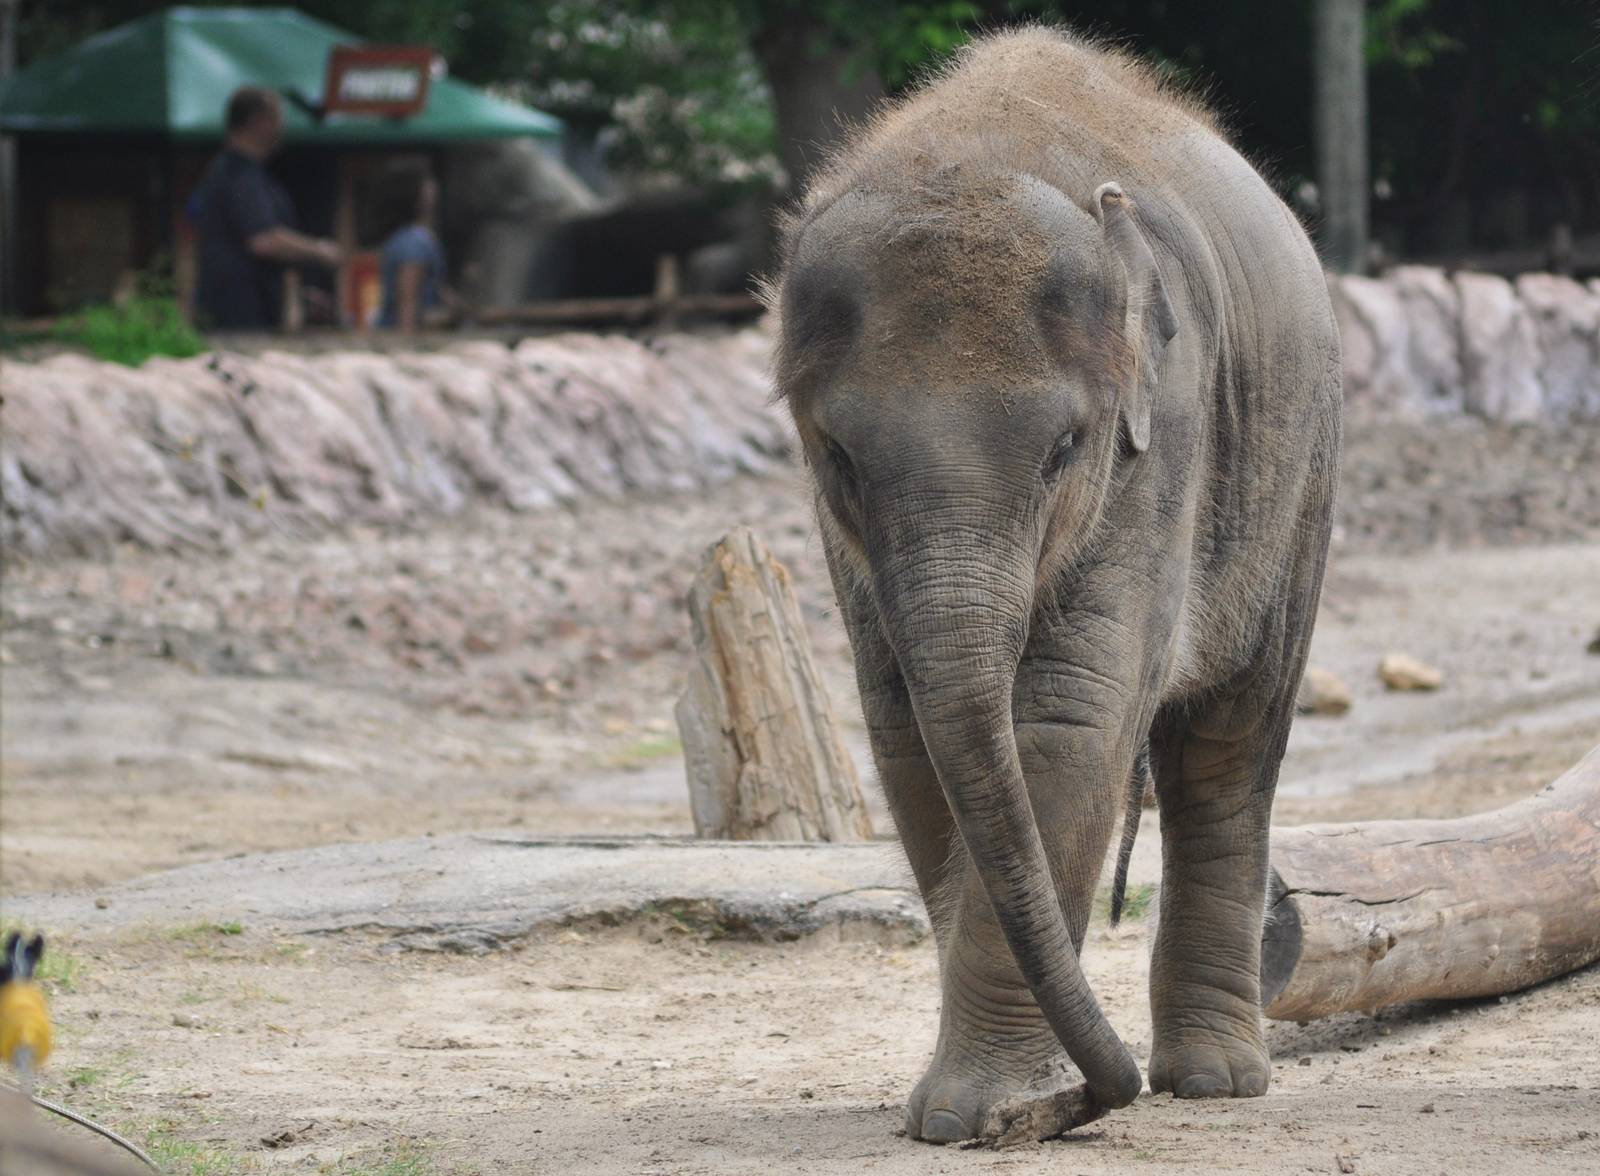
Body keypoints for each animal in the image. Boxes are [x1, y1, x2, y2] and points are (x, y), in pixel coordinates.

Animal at [766, 29, 1342, 1143]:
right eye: (839, 458)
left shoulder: (1161, 439)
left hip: (1302, 470)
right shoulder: (839, 534)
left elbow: (1067, 717)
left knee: (1232, 737)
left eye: (1064, 451)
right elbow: (908, 728)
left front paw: (986, 1114)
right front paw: (974, 1107)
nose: (1093, 1093)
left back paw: (1215, 1082)